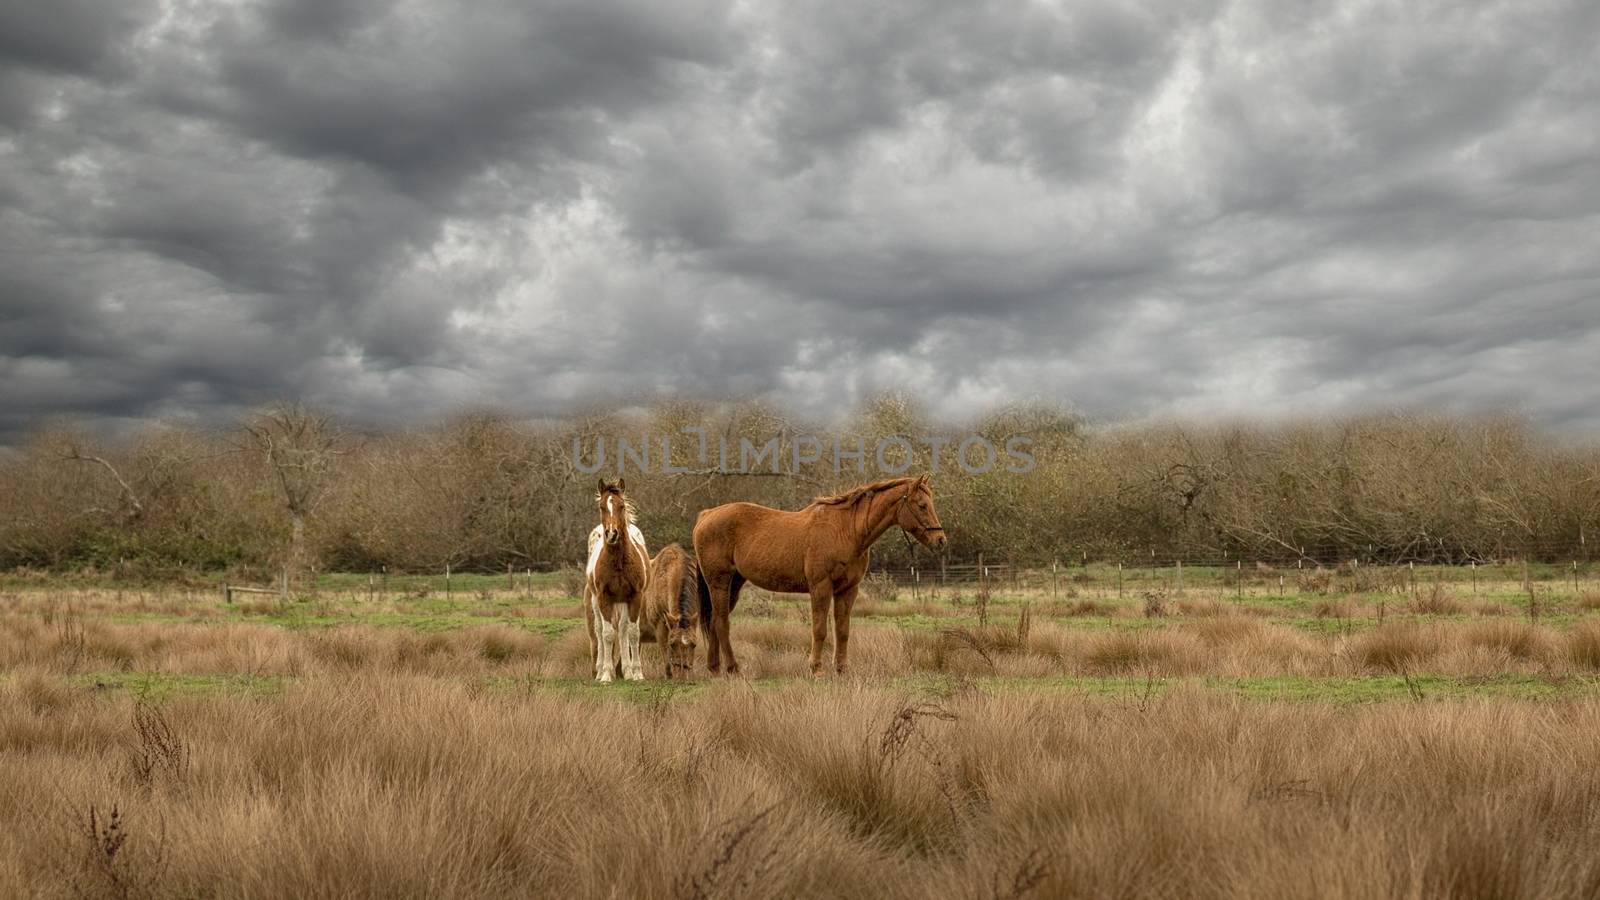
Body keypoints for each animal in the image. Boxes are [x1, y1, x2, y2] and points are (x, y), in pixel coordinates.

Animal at [582, 477, 649, 679]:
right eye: (602, 507)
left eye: (621, 506)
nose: (612, 534)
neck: (619, 562)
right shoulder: (604, 597)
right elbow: (607, 634)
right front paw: (606, 674)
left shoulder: (635, 596)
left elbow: (632, 633)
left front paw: (636, 674)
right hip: (596, 602)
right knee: (599, 631)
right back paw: (600, 671)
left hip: (623, 602)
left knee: (623, 629)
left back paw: (626, 671)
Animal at [691, 470, 940, 672]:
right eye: (922, 505)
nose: (940, 540)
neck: (846, 530)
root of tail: (707, 515)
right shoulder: (821, 587)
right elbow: (819, 629)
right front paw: (816, 669)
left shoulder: (848, 590)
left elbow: (842, 630)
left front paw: (841, 669)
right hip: (720, 583)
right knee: (722, 622)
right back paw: (733, 668)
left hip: (733, 584)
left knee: (714, 621)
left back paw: (714, 668)